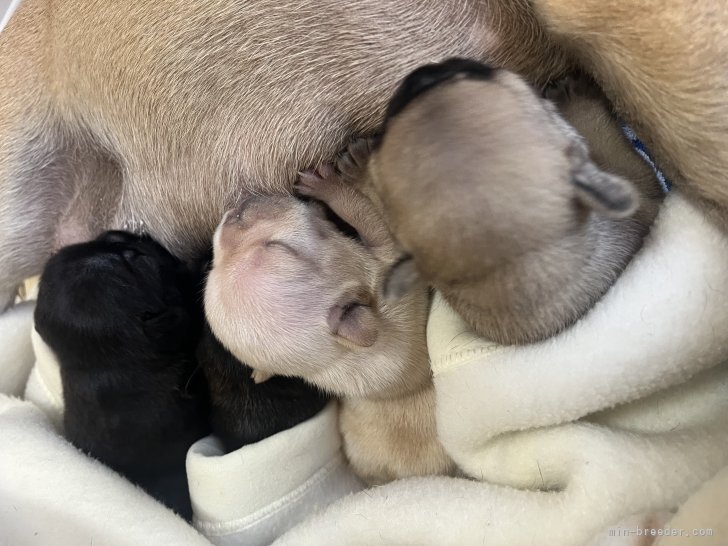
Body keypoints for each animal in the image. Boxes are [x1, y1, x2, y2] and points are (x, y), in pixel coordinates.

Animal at [348, 57, 664, 342]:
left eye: (389, 122)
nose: (421, 74)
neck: (513, 273)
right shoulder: (640, 184)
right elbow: (604, 138)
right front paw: (578, 98)